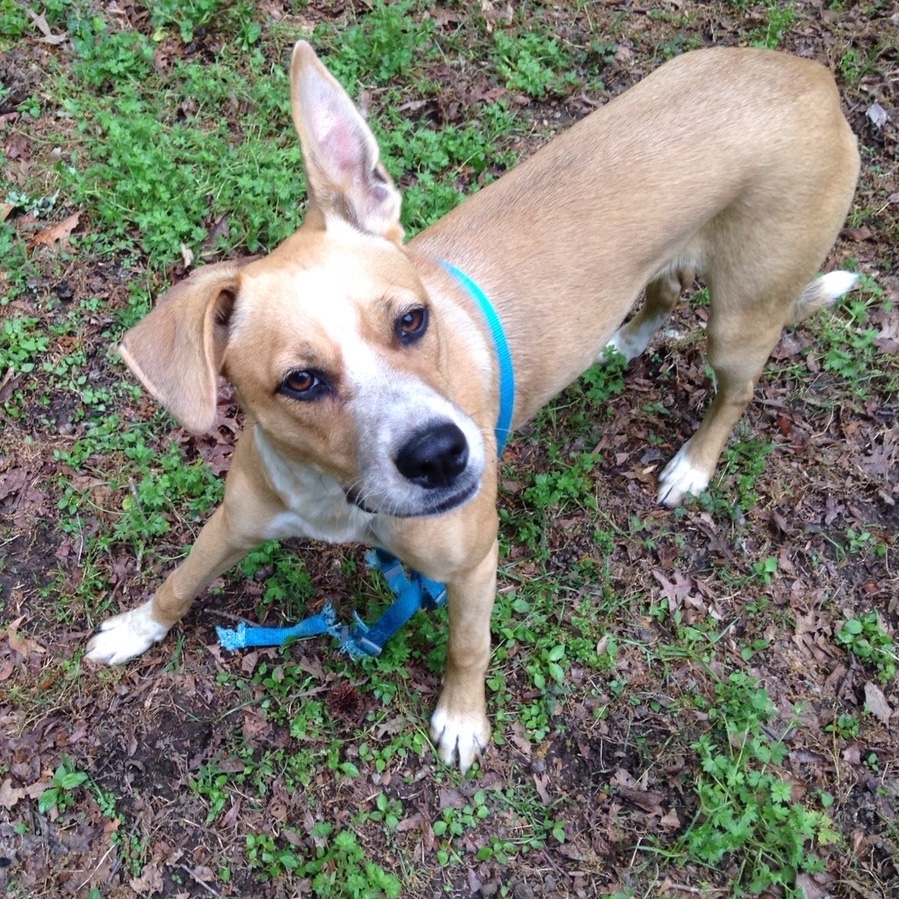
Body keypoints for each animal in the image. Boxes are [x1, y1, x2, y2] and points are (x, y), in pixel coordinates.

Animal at [88, 44, 860, 772]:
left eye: (410, 320)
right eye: (301, 381)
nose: (442, 454)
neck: (339, 496)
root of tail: (810, 76)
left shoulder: (472, 563)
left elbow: (469, 645)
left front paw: (462, 718)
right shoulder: (236, 520)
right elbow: (181, 578)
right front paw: (134, 628)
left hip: (741, 318)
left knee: (735, 389)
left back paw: (692, 466)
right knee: (665, 287)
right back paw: (629, 339)